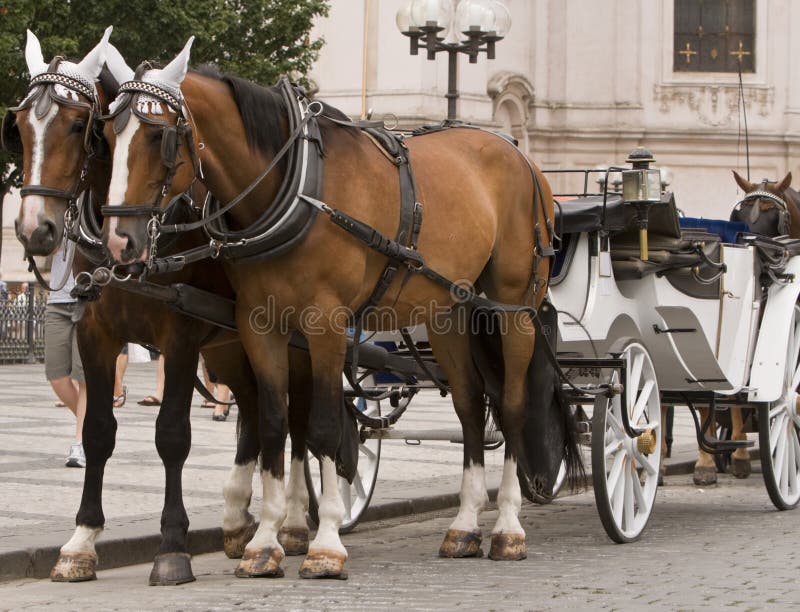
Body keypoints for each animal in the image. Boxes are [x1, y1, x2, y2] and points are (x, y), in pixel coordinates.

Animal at [10, 31, 318, 584]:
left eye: (78, 126)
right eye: (20, 128)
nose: (34, 229)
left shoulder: (179, 337)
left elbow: (172, 434)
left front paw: (172, 545)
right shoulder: (95, 334)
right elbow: (97, 431)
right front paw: (81, 542)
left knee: (299, 419)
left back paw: (294, 523)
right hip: (229, 346)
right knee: (254, 410)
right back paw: (238, 520)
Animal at [100, 38, 580, 580]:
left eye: (158, 136)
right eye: (107, 134)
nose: (119, 241)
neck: (296, 186)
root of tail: (521, 154)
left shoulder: (325, 325)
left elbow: (325, 428)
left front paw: (325, 542)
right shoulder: (260, 326)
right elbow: (274, 425)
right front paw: (264, 542)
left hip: (513, 309)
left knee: (513, 403)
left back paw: (508, 527)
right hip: (450, 316)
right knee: (471, 407)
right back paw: (463, 525)